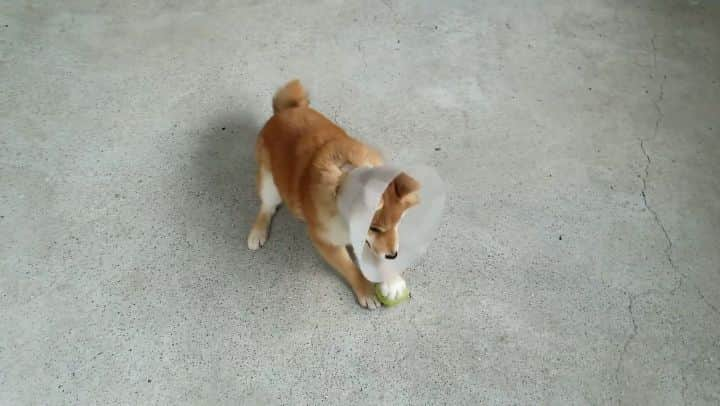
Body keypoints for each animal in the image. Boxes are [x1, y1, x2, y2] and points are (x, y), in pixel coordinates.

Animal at [248, 79, 420, 310]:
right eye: (374, 228)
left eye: (399, 222)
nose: (393, 255)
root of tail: (285, 111)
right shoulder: (326, 242)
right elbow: (349, 267)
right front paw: (365, 289)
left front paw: (391, 281)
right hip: (269, 181)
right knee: (267, 207)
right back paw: (258, 231)